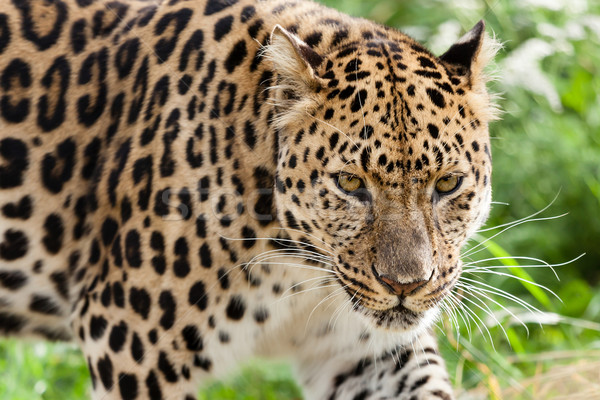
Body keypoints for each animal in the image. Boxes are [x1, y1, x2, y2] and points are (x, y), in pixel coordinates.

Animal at [0, 0, 496, 398]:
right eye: (350, 183)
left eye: (448, 184)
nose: (405, 286)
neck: (298, 269)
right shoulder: (128, 341)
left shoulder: (365, 353)